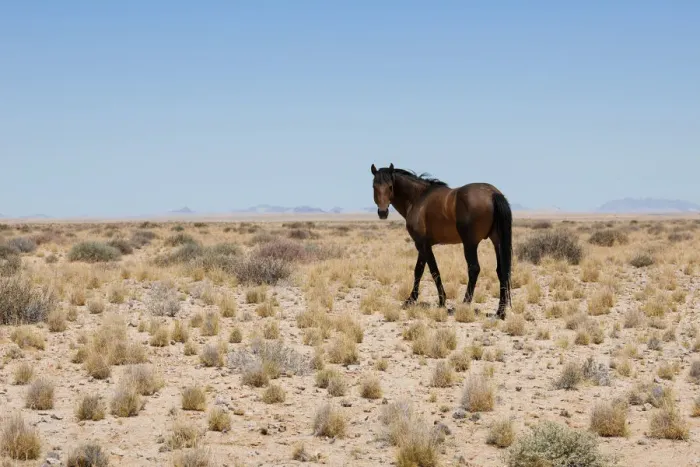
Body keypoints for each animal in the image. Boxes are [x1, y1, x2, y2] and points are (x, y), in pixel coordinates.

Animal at [370, 163, 513, 319]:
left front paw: (440, 301)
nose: (382, 212)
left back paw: (464, 305)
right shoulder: (423, 245)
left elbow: (432, 270)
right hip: (497, 242)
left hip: (470, 244)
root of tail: (493, 193)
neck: (418, 198)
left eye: (390, 186)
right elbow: (419, 270)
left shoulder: (422, 244)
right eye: (374, 186)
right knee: (502, 270)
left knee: (474, 269)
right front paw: (412, 299)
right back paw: (500, 312)